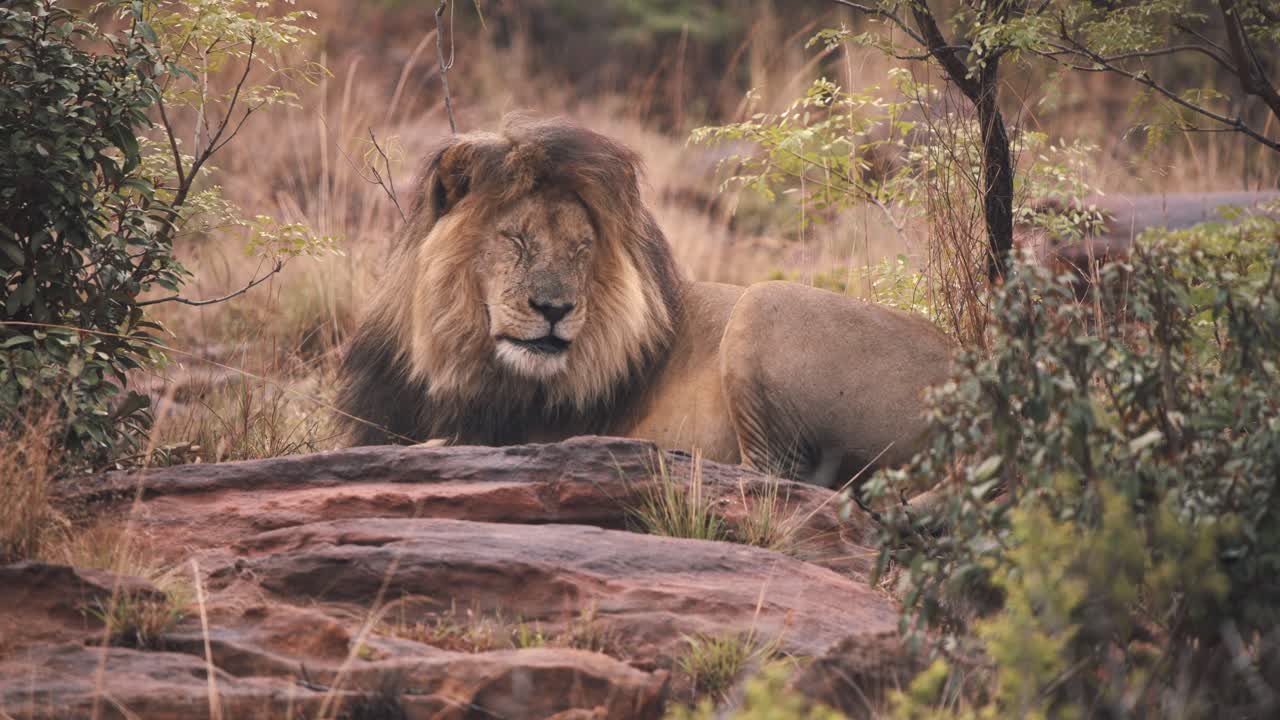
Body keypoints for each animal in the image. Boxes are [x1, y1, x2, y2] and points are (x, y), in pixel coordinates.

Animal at [335, 115, 955, 489]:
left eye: (582, 248)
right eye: (515, 239)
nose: (555, 310)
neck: (447, 357)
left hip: (763, 303)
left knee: (774, 478)